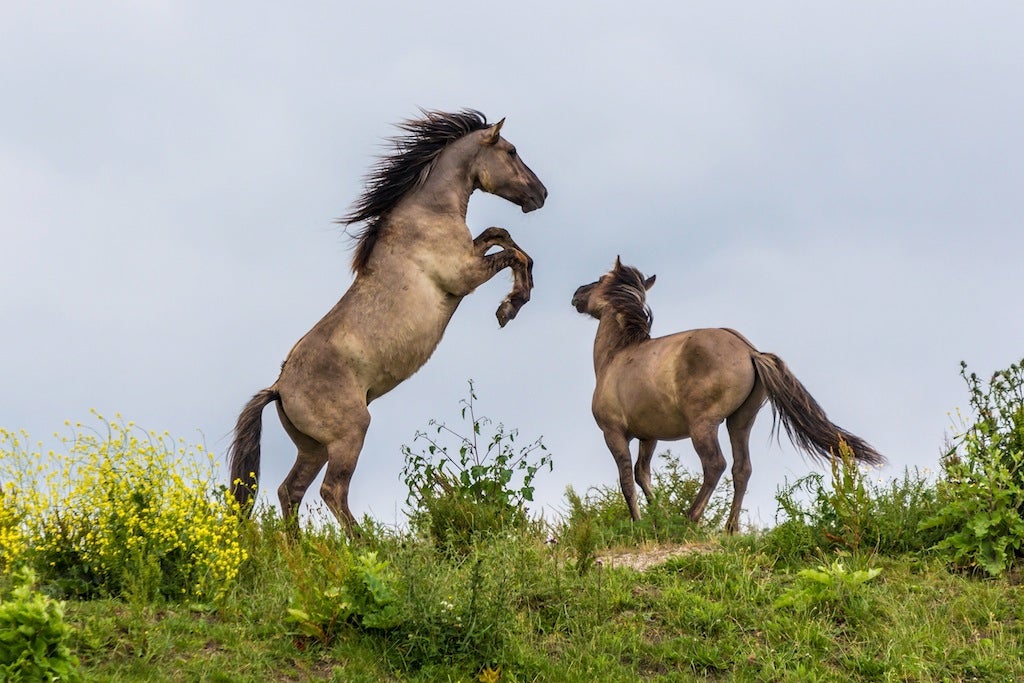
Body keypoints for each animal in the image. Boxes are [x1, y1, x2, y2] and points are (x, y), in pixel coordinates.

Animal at [229, 111, 548, 528]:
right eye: (511, 151)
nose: (541, 194)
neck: (426, 215)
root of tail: (279, 387)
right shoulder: (464, 275)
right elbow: (511, 253)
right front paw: (510, 306)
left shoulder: (471, 254)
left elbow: (501, 235)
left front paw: (516, 297)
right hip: (349, 435)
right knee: (332, 491)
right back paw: (366, 541)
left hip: (313, 447)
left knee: (290, 491)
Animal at [573, 259, 884, 532]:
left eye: (600, 278)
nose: (577, 294)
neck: (617, 355)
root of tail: (749, 351)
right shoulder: (649, 436)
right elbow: (642, 475)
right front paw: (658, 518)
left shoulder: (614, 433)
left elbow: (627, 479)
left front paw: (639, 524)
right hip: (740, 422)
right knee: (741, 469)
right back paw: (730, 528)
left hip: (703, 425)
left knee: (715, 465)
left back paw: (691, 518)